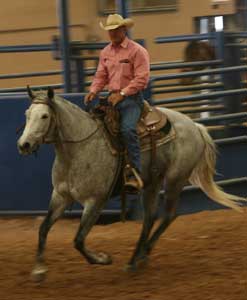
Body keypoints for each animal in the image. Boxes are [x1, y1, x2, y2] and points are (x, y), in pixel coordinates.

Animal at [17, 86, 245, 282]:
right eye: (27, 114)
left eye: (45, 116)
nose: (24, 145)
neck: (79, 150)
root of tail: (195, 126)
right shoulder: (60, 196)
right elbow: (43, 229)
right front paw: (39, 270)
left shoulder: (96, 201)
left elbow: (79, 239)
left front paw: (102, 258)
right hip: (152, 182)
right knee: (150, 217)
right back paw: (137, 258)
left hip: (175, 179)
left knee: (169, 215)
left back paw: (140, 256)